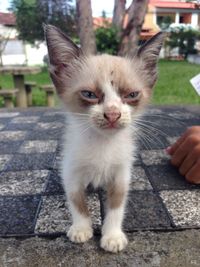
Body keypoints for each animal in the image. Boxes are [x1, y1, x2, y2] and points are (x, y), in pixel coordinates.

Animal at [44, 26, 165, 254]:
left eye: (132, 94)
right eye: (89, 94)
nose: (112, 114)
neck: (103, 144)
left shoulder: (121, 173)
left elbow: (117, 205)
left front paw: (112, 236)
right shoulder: (71, 171)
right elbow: (76, 201)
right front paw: (81, 229)